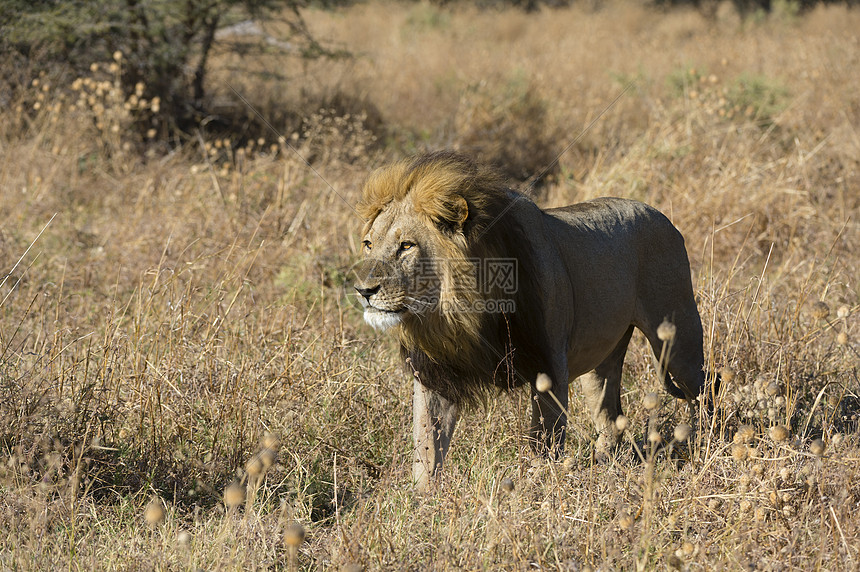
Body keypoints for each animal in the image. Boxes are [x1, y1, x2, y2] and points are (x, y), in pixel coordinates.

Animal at [352, 152, 712, 492]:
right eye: (369, 244)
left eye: (406, 246)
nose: (363, 290)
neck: (457, 316)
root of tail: (660, 215)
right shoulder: (435, 375)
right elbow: (426, 444)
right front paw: (423, 499)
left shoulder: (548, 366)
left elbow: (544, 440)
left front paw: (538, 486)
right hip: (601, 362)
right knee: (611, 415)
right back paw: (604, 465)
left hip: (678, 340)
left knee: (703, 391)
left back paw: (705, 446)